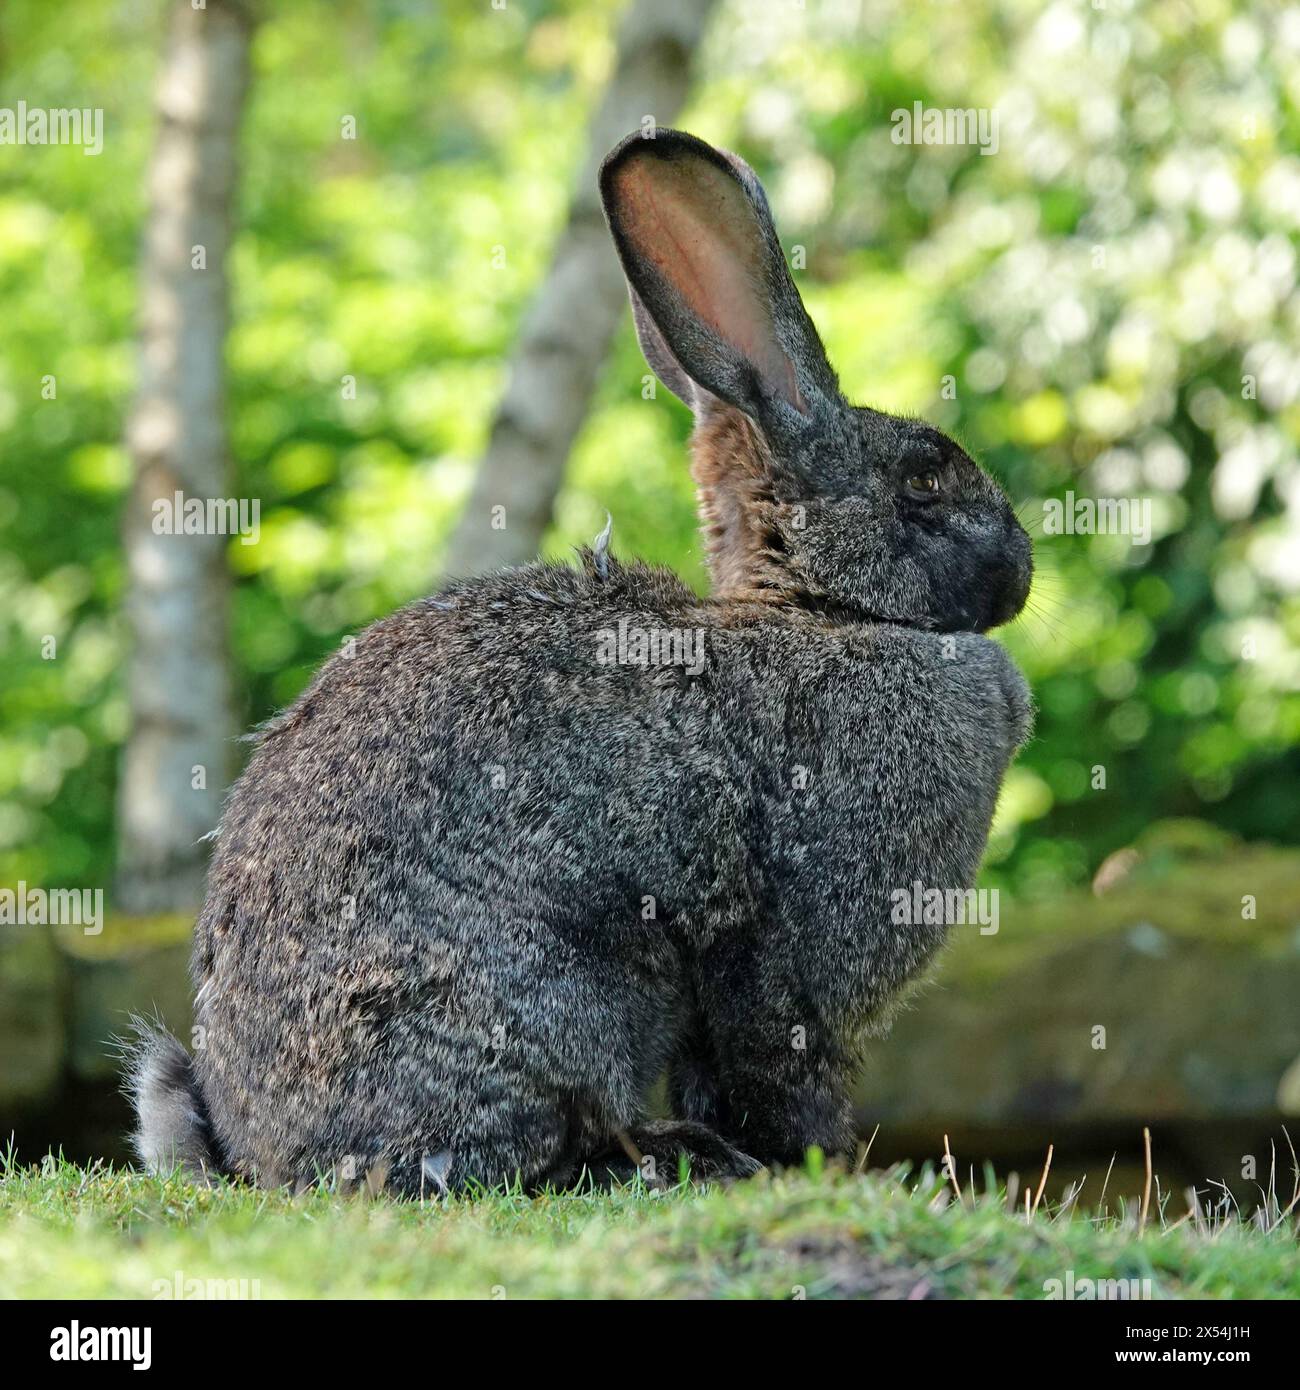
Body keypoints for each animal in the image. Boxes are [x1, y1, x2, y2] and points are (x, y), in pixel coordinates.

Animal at [127, 130, 1034, 1195]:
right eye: (925, 477)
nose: (1021, 567)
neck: (824, 610)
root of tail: (260, 1155)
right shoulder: (799, 944)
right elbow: (776, 1062)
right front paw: (813, 1162)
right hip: (551, 1007)